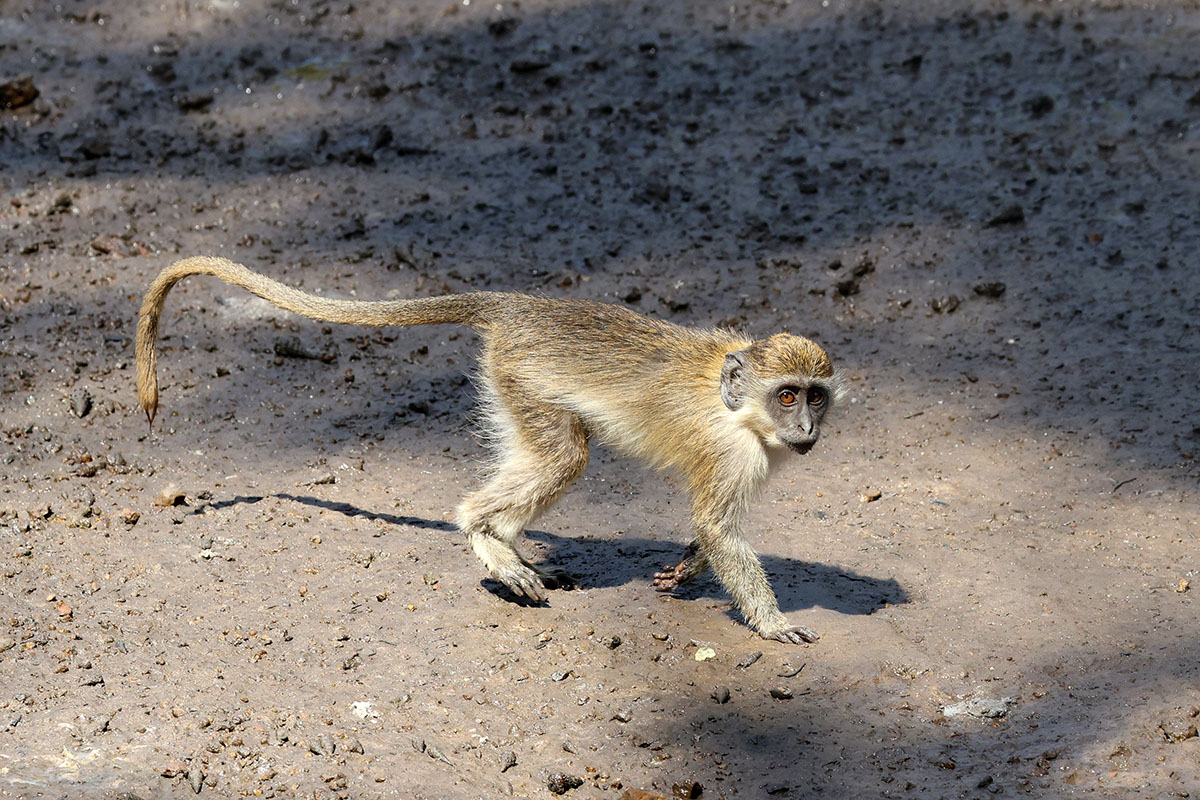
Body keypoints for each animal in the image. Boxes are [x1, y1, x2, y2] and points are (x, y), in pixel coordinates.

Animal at [137, 256, 845, 644]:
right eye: (787, 396)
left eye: (815, 398)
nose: (807, 431)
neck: (740, 406)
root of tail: (524, 308)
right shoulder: (736, 454)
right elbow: (719, 527)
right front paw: (771, 623)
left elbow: (710, 530)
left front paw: (684, 570)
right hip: (523, 379)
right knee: (564, 455)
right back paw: (486, 535)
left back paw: (509, 546)